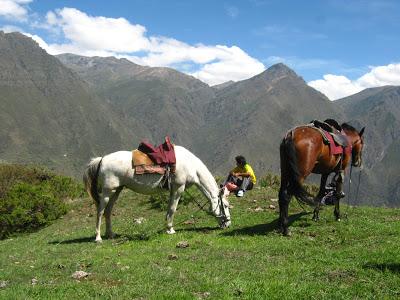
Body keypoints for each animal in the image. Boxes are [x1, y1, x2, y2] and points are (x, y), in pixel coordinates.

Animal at [83, 145, 230, 241]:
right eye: (226, 205)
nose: (228, 224)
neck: (190, 165)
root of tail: (102, 159)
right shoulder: (178, 188)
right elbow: (173, 209)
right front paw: (171, 229)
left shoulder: (173, 190)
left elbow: (169, 209)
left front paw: (167, 227)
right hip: (108, 191)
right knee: (100, 211)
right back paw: (98, 237)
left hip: (117, 190)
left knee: (108, 211)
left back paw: (110, 234)